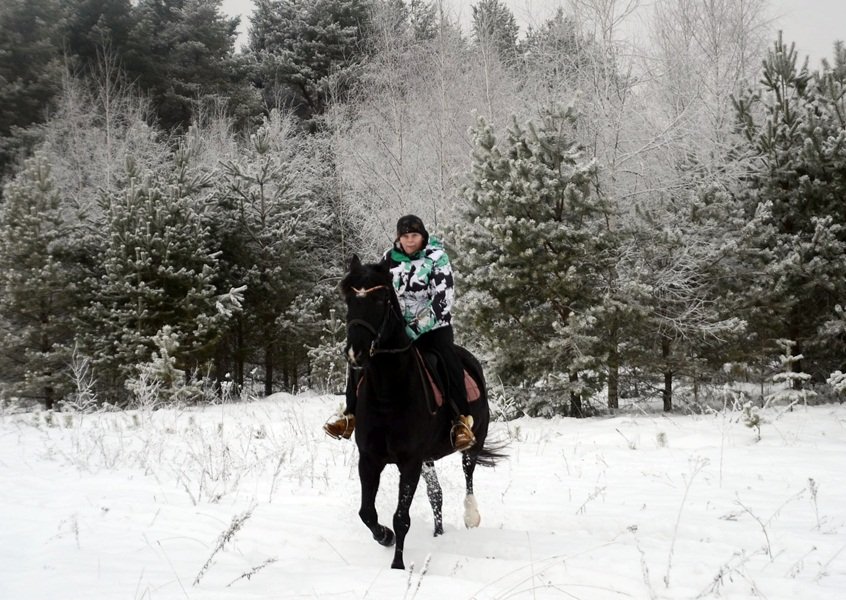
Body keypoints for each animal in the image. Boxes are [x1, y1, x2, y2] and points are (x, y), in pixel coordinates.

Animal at [340, 255, 503, 570]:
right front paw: (385, 537)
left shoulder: (410, 462)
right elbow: (367, 513)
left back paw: (471, 516)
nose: (356, 353)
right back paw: (438, 533)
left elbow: (401, 518)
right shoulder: (370, 459)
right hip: (428, 458)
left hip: (471, 443)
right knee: (436, 494)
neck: (388, 393)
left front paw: (397, 565)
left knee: (468, 476)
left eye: (380, 299)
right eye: (349, 299)